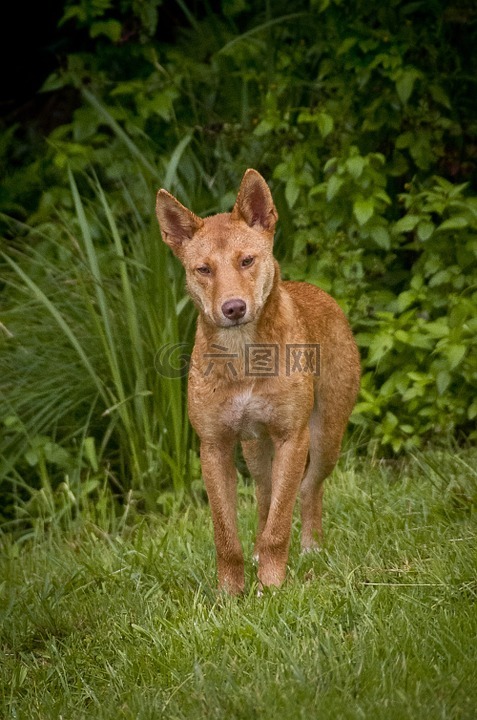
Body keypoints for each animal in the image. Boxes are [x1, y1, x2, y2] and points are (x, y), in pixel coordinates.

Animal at [156, 170, 360, 596]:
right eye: (203, 269)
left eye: (247, 260)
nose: (233, 308)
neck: (244, 358)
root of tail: (318, 291)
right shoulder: (214, 447)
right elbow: (226, 536)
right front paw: (230, 594)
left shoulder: (291, 438)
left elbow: (279, 528)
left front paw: (272, 587)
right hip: (255, 452)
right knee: (266, 498)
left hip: (325, 439)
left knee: (308, 490)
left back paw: (311, 548)